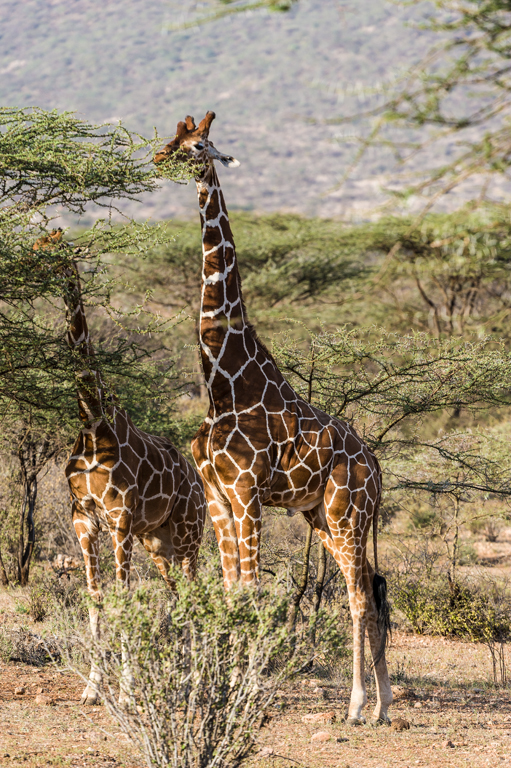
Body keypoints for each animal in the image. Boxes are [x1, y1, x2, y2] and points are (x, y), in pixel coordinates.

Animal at [39, 237, 206, 704]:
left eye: (56, 249)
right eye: (41, 243)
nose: (37, 262)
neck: (93, 425)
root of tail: (199, 485)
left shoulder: (120, 521)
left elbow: (124, 596)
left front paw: (129, 690)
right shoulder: (83, 519)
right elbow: (96, 598)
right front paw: (93, 689)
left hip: (189, 535)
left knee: (196, 594)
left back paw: (197, 679)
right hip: (159, 543)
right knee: (176, 595)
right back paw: (180, 673)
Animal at [154, 111, 394, 724]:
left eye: (198, 145)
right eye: (172, 138)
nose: (160, 158)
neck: (224, 380)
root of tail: (377, 467)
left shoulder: (246, 492)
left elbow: (251, 591)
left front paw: (245, 681)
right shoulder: (218, 495)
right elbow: (228, 589)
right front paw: (212, 679)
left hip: (346, 514)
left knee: (358, 595)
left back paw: (357, 704)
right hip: (321, 517)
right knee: (372, 587)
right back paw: (384, 703)